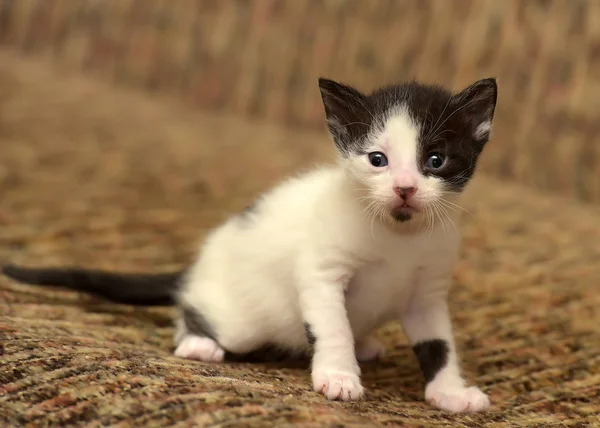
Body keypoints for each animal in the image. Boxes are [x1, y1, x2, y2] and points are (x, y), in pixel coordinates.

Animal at [2, 76, 496, 412]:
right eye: (378, 159)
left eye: (436, 160)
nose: (405, 189)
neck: (399, 234)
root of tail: (199, 266)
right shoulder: (321, 273)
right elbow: (331, 326)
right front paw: (338, 376)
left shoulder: (427, 292)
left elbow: (439, 344)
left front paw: (450, 393)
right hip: (239, 321)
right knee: (195, 312)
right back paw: (198, 343)